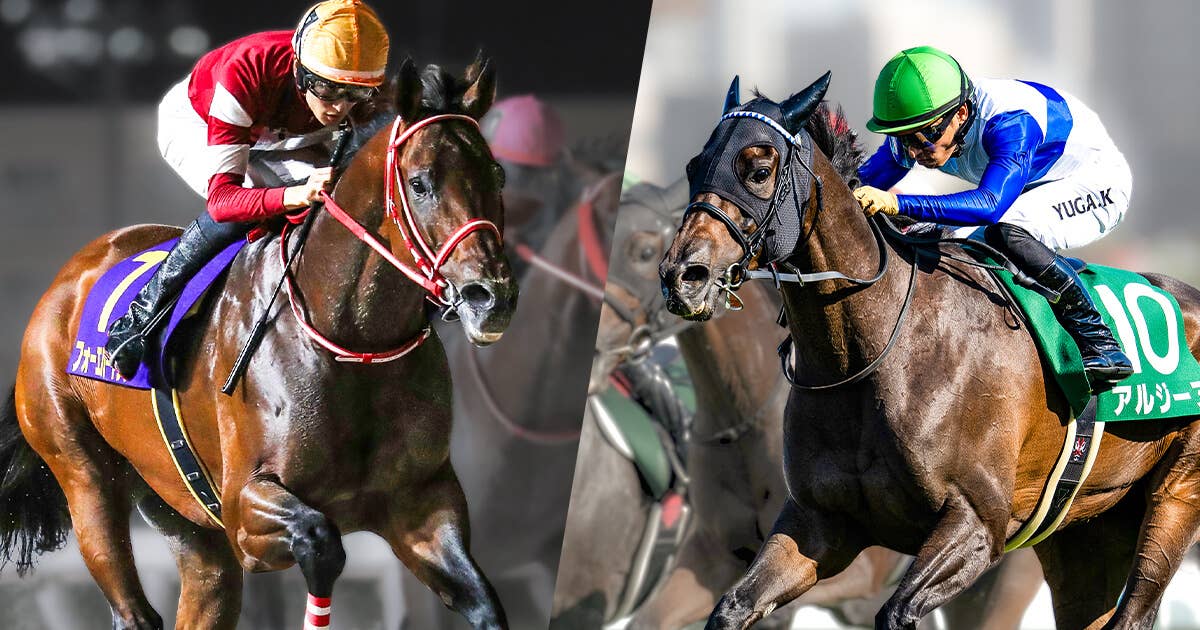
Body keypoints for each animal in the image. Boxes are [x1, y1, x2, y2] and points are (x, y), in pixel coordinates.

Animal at [4, 57, 517, 630]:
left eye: (497, 175)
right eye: (421, 182)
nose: (490, 296)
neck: (352, 342)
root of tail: (66, 280)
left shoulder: (422, 504)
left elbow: (482, 601)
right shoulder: (245, 512)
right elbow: (321, 540)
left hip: (183, 519)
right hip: (83, 473)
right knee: (130, 602)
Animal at [659, 72, 1200, 630]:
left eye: (760, 170)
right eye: (694, 167)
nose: (683, 275)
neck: (873, 354)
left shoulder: (976, 525)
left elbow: (897, 611)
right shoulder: (817, 524)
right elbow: (731, 607)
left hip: (1174, 499)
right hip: (1085, 530)